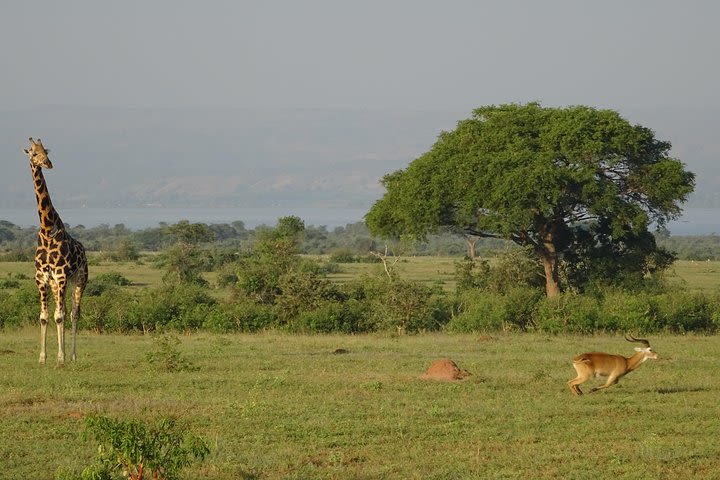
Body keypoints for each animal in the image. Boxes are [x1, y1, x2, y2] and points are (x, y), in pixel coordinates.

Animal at [23, 137, 88, 366]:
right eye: (34, 153)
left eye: (46, 151)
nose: (48, 163)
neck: (47, 228)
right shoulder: (42, 277)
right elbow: (44, 316)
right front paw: (43, 357)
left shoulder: (60, 276)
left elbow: (60, 316)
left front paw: (60, 358)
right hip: (56, 284)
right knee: (63, 311)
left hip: (79, 279)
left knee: (73, 313)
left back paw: (73, 356)